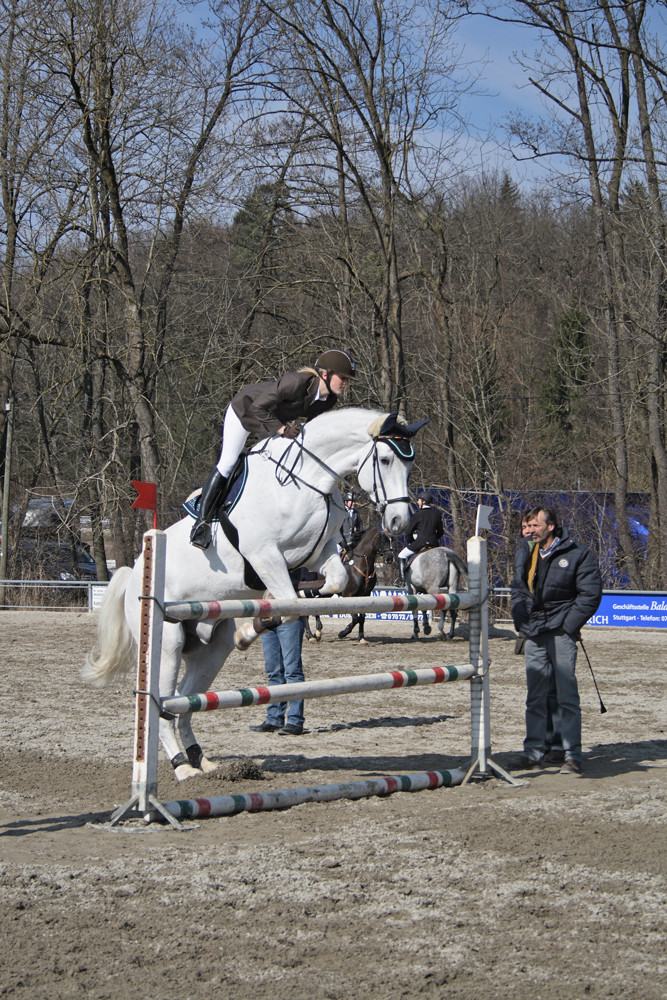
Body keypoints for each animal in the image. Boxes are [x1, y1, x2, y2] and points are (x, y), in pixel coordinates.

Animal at [82, 406, 422, 780]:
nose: (398, 522)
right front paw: (250, 630)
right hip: (167, 642)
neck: (309, 479)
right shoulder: (265, 556)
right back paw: (182, 766)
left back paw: (202, 760)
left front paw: (251, 631)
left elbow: (324, 589)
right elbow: (292, 603)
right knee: (162, 703)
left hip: (209, 651)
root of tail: (134, 575)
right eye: (386, 459)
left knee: (185, 701)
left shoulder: (321, 553)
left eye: (409, 465)